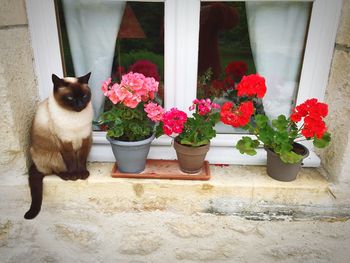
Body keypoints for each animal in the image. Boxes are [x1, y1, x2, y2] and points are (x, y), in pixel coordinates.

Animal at [23, 72, 93, 221]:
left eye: (84, 96)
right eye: (70, 98)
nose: (80, 105)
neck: (75, 119)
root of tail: (36, 165)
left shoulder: (85, 139)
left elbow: (81, 160)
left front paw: (83, 174)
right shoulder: (65, 142)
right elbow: (71, 162)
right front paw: (75, 176)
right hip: (54, 154)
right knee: (54, 170)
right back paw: (67, 176)